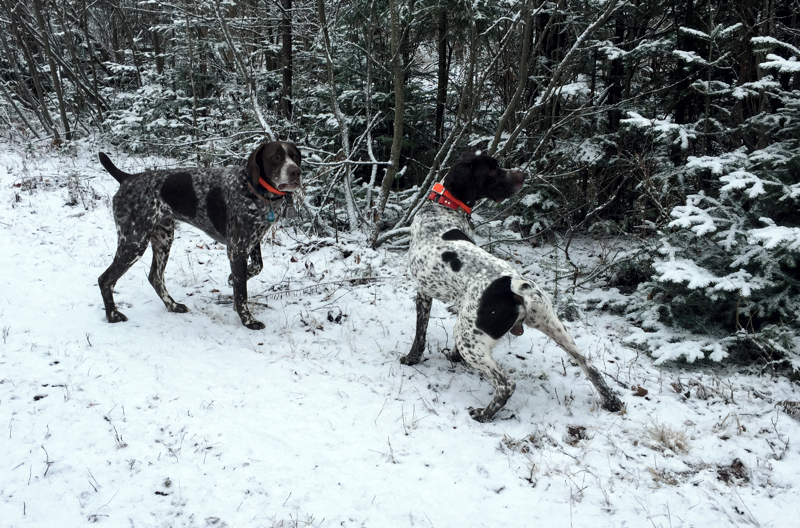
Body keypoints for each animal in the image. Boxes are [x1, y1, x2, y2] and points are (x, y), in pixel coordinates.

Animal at [97, 140, 302, 330]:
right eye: (276, 157)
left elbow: (257, 267)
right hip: (134, 242)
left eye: (295, 156)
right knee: (105, 279)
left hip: (163, 238)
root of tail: (127, 178)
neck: (253, 189)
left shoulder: (251, 241)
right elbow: (241, 294)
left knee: (155, 277)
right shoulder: (237, 249)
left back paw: (173, 305)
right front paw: (247, 320)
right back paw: (112, 315)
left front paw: (232, 278)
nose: (296, 172)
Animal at [406, 153, 624, 420]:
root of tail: (514, 285)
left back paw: (483, 414)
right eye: (492, 170)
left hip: (470, 339)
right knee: (590, 366)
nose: (523, 174)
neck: (443, 208)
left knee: (505, 384)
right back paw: (611, 401)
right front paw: (453, 358)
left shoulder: (423, 293)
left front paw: (411, 359)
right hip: (552, 325)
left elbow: (420, 335)